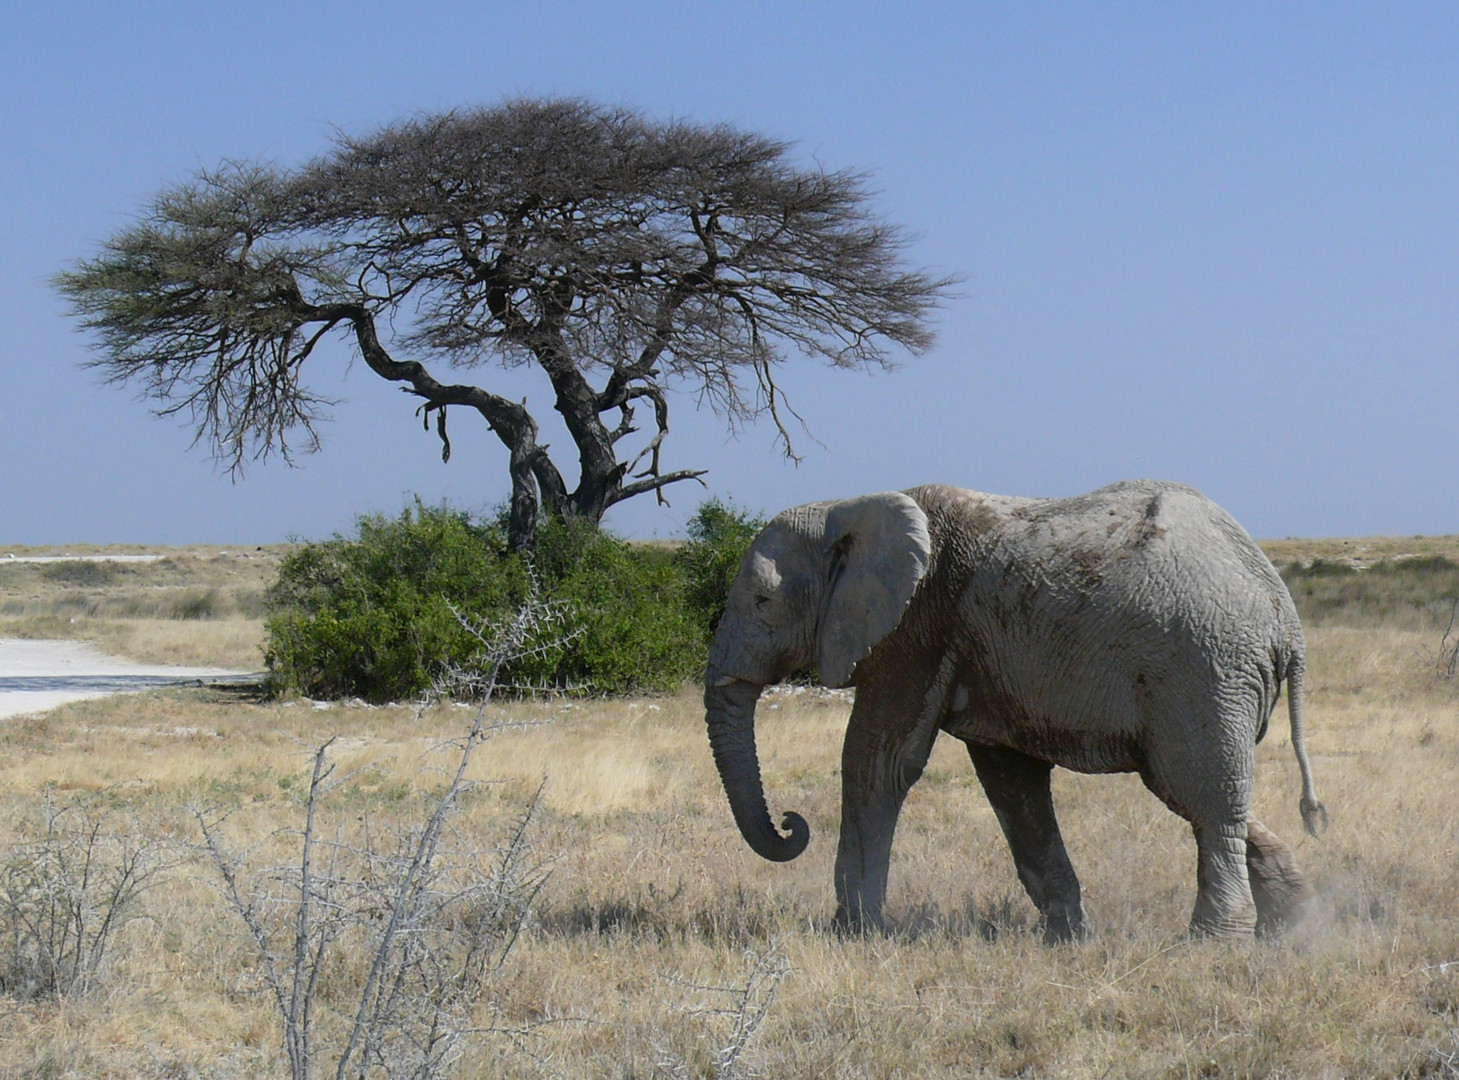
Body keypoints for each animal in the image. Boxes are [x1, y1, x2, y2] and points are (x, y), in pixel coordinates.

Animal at [700, 475, 1330, 939]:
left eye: (762, 602)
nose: (790, 822)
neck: (847, 506)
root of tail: (1285, 613)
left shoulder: (915, 628)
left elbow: (878, 764)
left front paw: (851, 933)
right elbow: (1011, 782)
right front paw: (1067, 940)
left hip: (1204, 668)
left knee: (1203, 796)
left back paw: (1213, 944)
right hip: (1216, 681)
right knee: (1199, 790)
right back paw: (1291, 924)